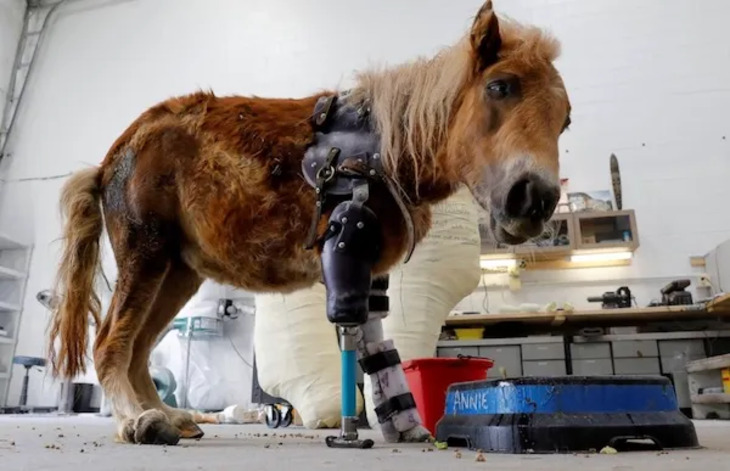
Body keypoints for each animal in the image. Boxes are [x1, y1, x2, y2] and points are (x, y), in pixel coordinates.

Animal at [47, 0, 568, 446]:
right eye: (499, 87)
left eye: (564, 120)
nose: (534, 199)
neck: (386, 149)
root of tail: (112, 158)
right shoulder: (349, 253)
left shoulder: (370, 272)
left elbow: (376, 349)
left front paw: (405, 428)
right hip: (146, 254)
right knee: (111, 341)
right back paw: (136, 420)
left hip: (177, 271)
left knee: (138, 347)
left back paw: (168, 416)